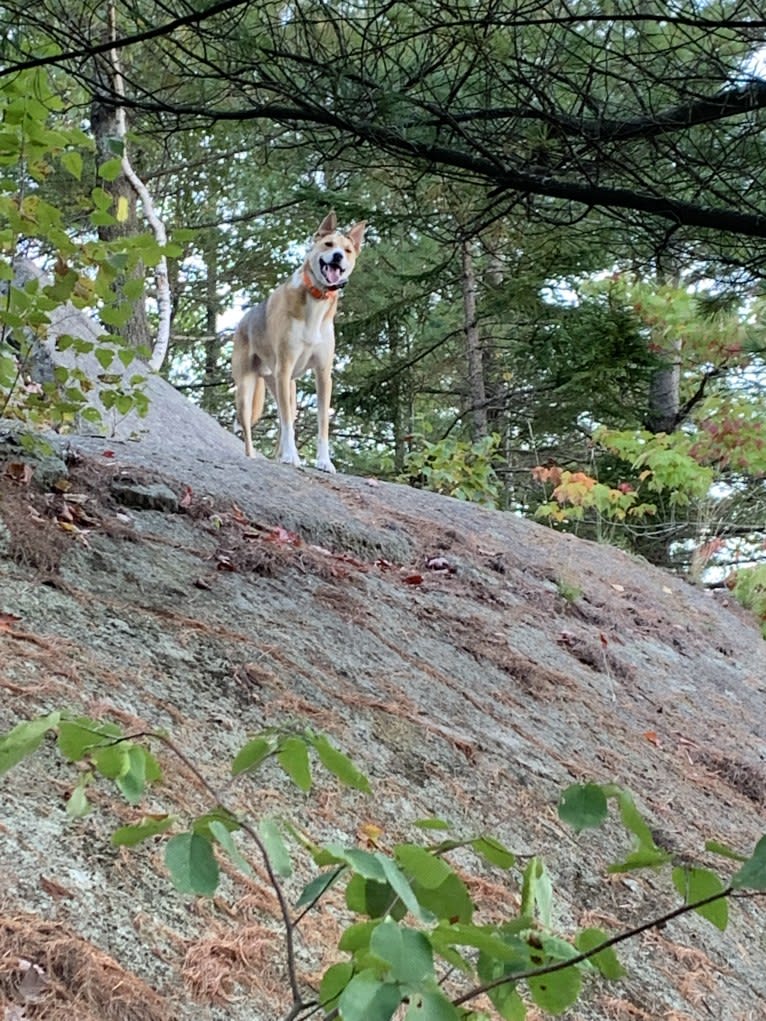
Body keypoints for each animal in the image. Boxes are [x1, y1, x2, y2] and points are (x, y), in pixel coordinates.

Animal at [230, 214, 365, 473]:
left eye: (347, 250)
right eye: (328, 245)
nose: (338, 257)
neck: (317, 299)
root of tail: (242, 322)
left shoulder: (323, 374)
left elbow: (322, 423)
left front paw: (324, 462)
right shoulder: (284, 367)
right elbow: (286, 424)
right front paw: (292, 457)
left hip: (286, 389)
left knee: (285, 421)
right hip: (247, 389)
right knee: (253, 429)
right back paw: (254, 457)